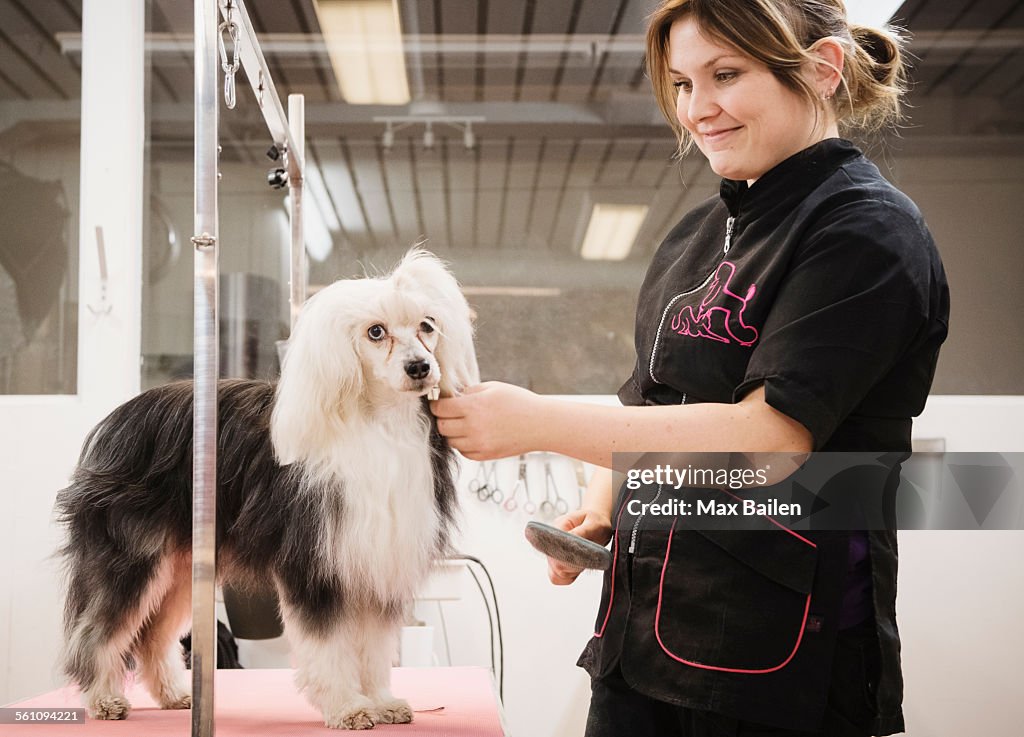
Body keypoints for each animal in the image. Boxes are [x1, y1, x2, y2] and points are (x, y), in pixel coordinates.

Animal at [51, 250, 475, 728]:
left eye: (427, 325)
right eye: (375, 332)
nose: (420, 367)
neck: (377, 425)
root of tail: (118, 419)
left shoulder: (374, 562)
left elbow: (375, 646)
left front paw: (381, 701)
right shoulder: (316, 563)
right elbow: (329, 646)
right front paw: (347, 707)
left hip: (182, 568)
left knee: (152, 637)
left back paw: (174, 694)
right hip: (131, 557)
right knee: (97, 631)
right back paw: (103, 698)